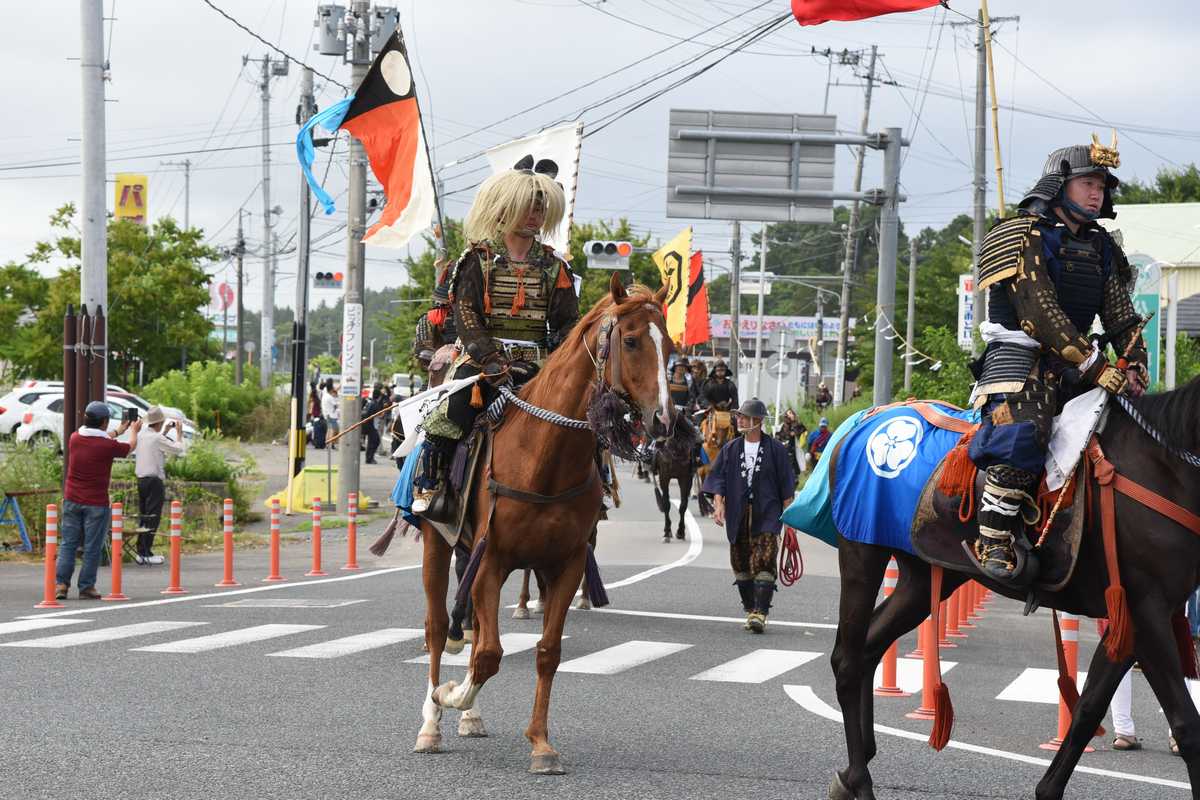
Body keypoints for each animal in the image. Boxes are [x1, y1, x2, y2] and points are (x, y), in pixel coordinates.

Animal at [412, 278, 676, 772]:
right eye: (631, 341)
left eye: (669, 347)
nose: (665, 420)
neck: (543, 456)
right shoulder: (492, 559)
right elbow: (489, 655)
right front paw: (450, 696)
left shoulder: (565, 564)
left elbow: (546, 653)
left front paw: (541, 743)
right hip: (437, 541)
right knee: (437, 628)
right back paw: (432, 722)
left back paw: (470, 718)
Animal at [830, 383, 1200, 800]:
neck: (1165, 470)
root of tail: (866, 420)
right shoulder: (1147, 612)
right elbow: (1187, 727)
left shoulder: (1133, 619)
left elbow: (1087, 709)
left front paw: (1048, 789)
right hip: (862, 552)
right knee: (848, 661)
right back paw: (860, 779)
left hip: (920, 578)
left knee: (869, 648)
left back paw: (857, 765)